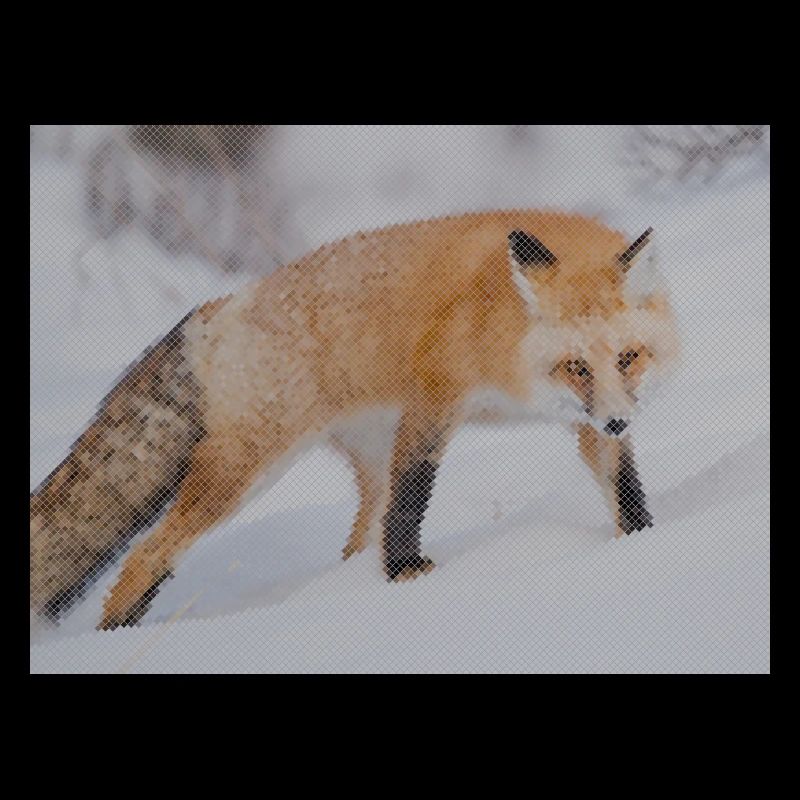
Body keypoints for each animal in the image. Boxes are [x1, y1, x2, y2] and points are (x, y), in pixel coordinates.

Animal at [30, 209, 679, 631]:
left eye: (628, 358)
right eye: (575, 366)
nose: (621, 422)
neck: (502, 330)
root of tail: (220, 307)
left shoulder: (587, 422)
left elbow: (624, 490)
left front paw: (643, 542)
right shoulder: (433, 399)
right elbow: (415, 496)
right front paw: (407, 575)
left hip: (364, 458)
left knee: (353, 543)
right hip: (245, 472)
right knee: (147, 554)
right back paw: (118, 633)